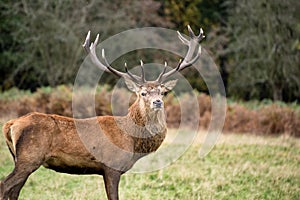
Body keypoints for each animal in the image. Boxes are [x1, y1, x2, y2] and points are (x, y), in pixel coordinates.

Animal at [0, 25, 204, 200]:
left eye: (163, 92)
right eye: (143, 93)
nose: (157, 102)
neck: (133, 141)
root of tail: (10, 124)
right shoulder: (112, 167)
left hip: (20, 158)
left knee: (14, 191)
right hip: (30, 157)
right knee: (5, 185)